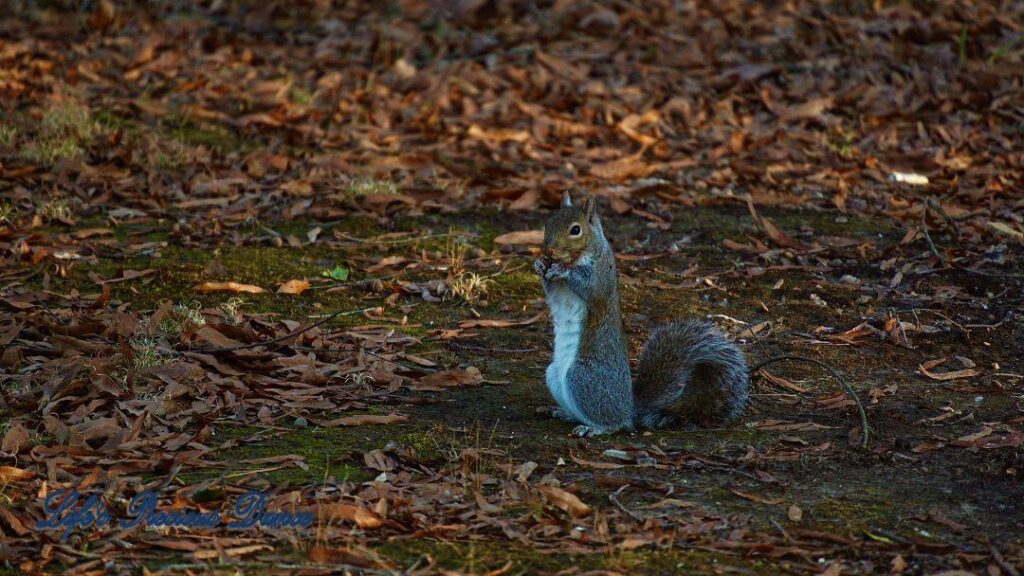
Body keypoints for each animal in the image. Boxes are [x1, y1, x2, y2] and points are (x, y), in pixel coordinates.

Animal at [532, 192, 749, 434]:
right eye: (548, 223)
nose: (547, 250)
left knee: (617, 423)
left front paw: (561, 269)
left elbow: (590, 287)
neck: (579, 255)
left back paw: (596, 428)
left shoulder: (601, 273)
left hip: (582, 378)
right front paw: (539, 264)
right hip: (554, 374)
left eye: (575, 230)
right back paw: (567, 414)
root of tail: (629, 407)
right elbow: (550, 290)